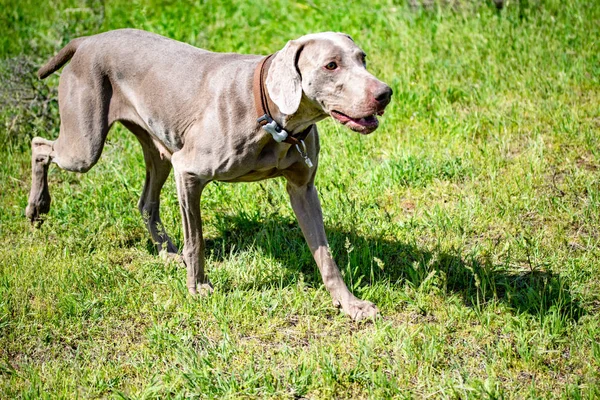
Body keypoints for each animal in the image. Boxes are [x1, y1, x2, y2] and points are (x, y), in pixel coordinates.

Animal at [27, 28, 394, 322]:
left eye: (362, 59)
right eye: (331, 65)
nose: (385, 93)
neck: (273, 119)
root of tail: (87, 40)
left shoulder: (302, 188)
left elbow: (325, 254)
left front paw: (351, 304)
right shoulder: (188, 171)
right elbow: (197, 241)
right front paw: (199, 287)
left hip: (159, 149)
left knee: (146, 202)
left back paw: (166, 252)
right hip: (86, 145)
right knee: (40, 144)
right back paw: (37, 206)